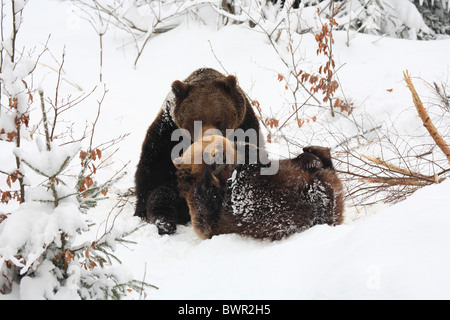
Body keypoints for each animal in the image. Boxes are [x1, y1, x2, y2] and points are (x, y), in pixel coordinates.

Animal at [134, 68, 262, 235]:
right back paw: (165, 222)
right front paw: (142, 212)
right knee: (163, 193)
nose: (210, 144)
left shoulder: (246, 127)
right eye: (195, 120)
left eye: (219, 120)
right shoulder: (167, 133)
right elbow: (153, 172)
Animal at [173, 136, 344, 240]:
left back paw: (310, 155)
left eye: (221, 145)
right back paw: (313, 156)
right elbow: (204, 210)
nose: (220, 156)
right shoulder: (203, 209)